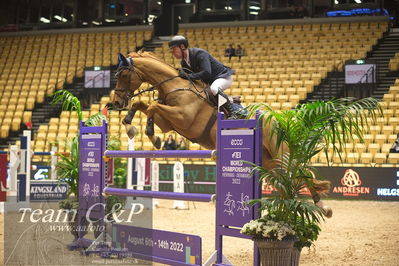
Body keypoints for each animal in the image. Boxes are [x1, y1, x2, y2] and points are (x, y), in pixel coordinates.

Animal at [109, 51, 332, 217]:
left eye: (122, 75)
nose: (116, 103)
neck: (174, 86)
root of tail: (278, 122)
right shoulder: (168, 123)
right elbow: (144, 105)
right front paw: (133, 127)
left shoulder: (183, 118)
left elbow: (152, 106)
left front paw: (148, 133)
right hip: (270, 162)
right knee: (289, 182)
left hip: (281, 155)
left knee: (300, 173)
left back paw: (323, 208)